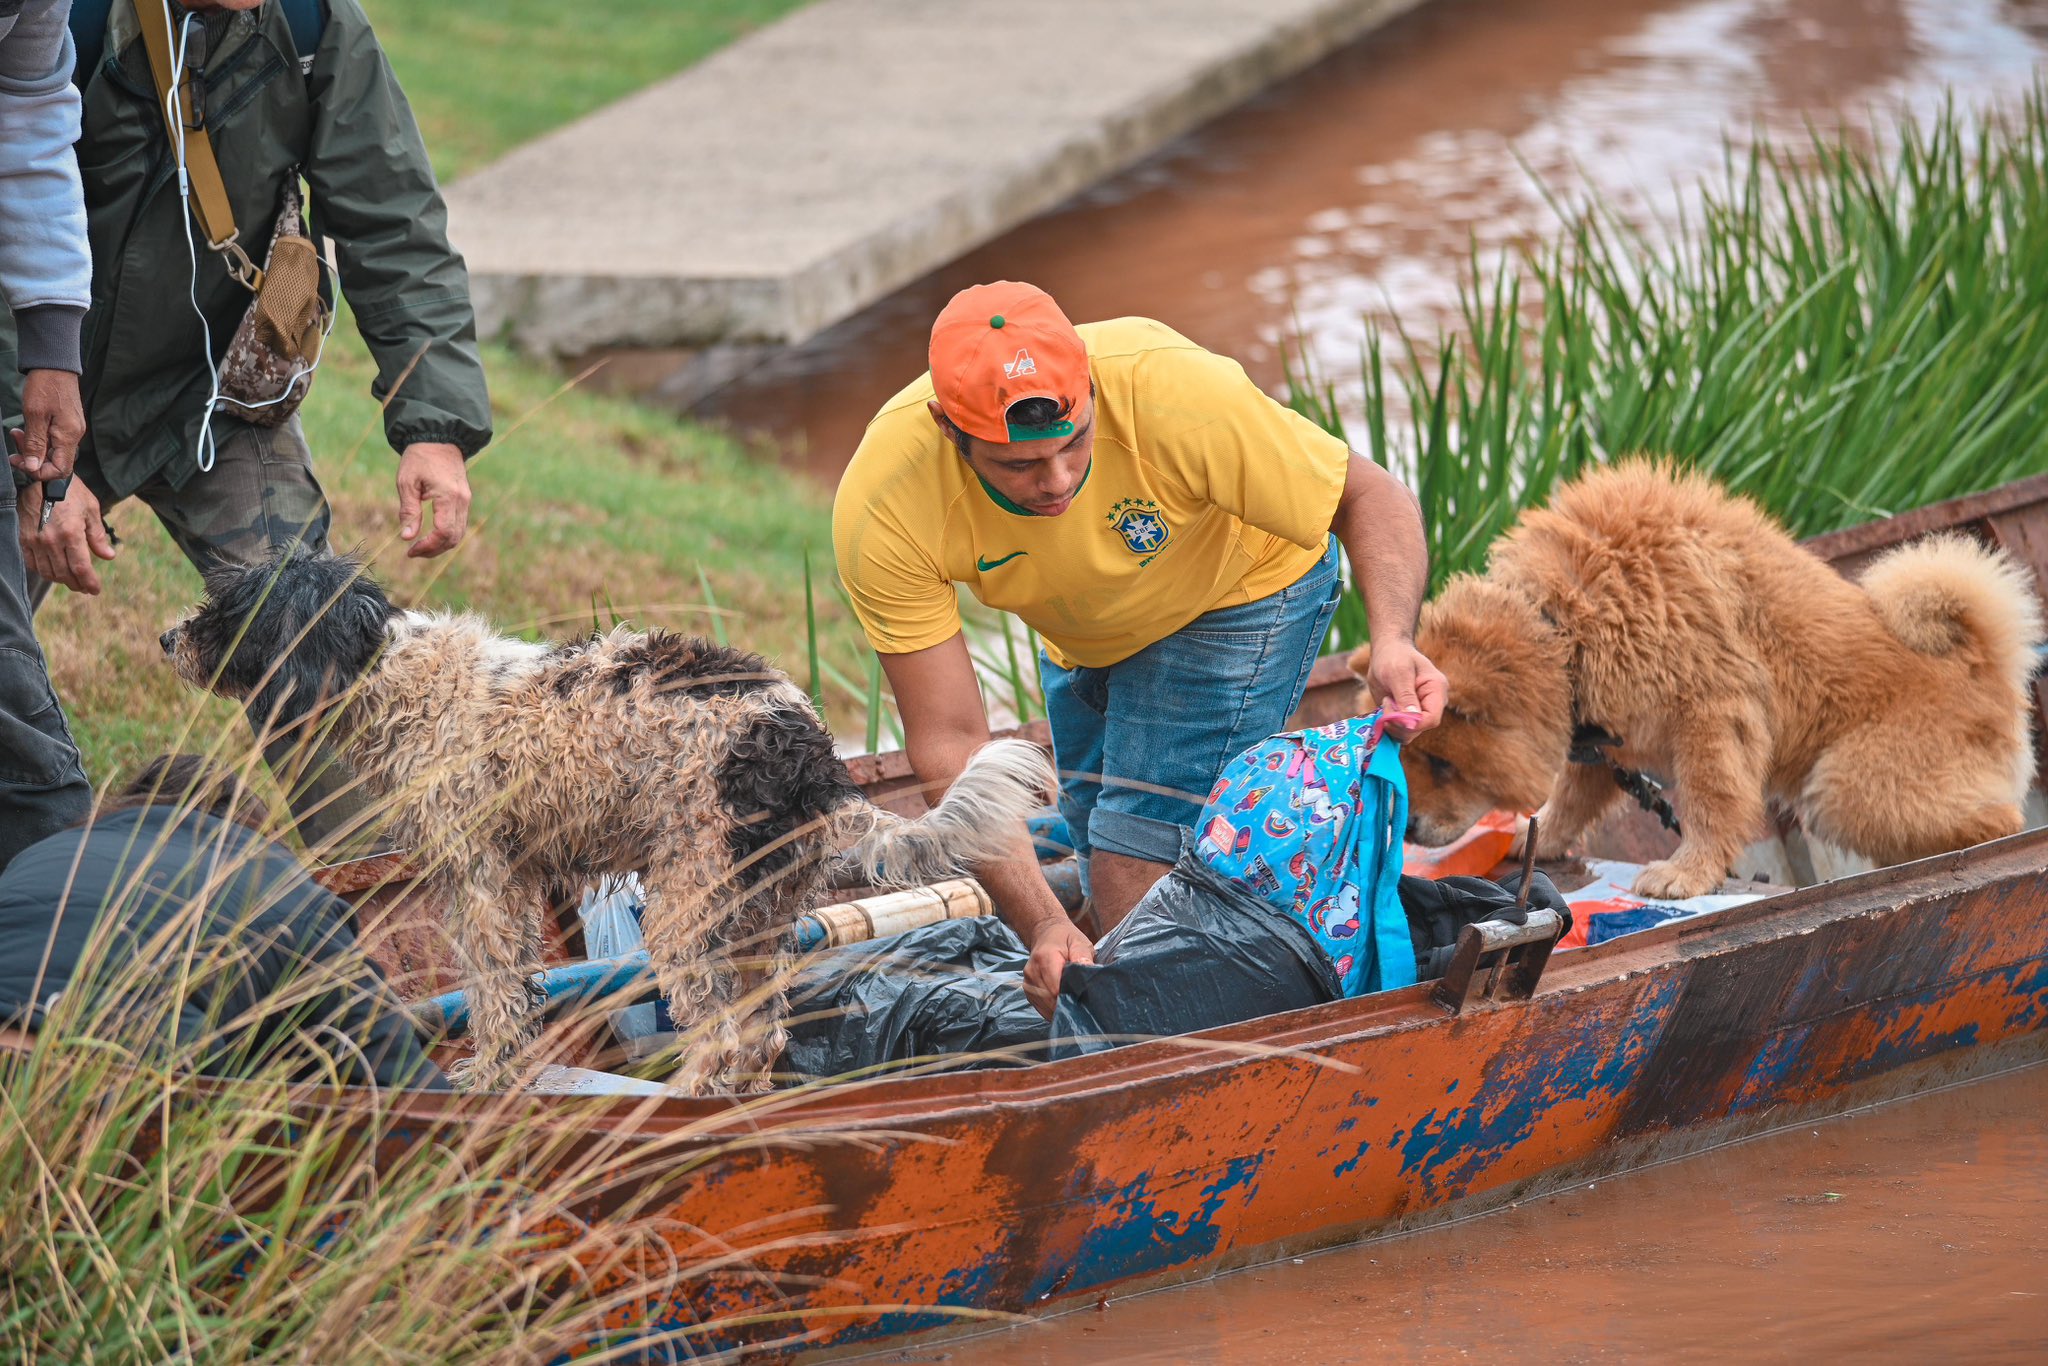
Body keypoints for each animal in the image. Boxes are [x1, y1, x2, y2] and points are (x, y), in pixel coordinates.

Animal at [159, 548, 1056, 1097]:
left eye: (227, 609)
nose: (166, 636)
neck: (393, 673)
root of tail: (812, 756)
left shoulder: (479, 880)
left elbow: (491, 990)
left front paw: (489, 1076)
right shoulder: (517, 877)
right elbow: (517, 986)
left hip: (689, 907)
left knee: (723, 1036)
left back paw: (684, 1103)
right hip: (759, 916)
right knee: (760, 1035)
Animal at [1351, 464, 2039, 901]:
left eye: (1442, 764)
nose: (1408, 832)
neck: (1565, 626)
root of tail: (1986, 666)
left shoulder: (1712, 713)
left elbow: (1711, 804)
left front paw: (1684, 876)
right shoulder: (1603, 736)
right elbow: (1573, 797)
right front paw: (1534, 837)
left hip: (1847, 787)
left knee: (1997, 820)